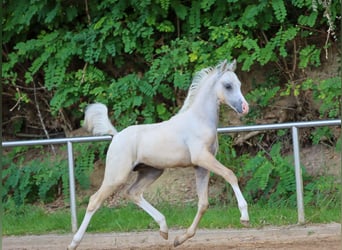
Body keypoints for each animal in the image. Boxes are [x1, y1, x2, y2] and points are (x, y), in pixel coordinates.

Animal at [67, 59, 248, 249]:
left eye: (239, 84)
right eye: (228, 85)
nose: (245, 108)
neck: (199, 120)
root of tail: (115, 136)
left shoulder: (201, 166)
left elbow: (203, 203)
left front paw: (180, 239)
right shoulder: (202, 158)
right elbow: (230, 174)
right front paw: (244, 217)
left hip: (152, 171)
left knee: (132, 193)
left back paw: (164, 229)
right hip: (116, 176)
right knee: (94, 200)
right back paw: (74, 243)